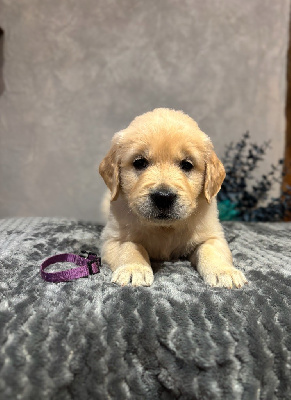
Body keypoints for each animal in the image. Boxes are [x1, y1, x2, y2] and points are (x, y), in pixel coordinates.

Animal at [100, 108, 249, 290]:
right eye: (139, 162)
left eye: (187, 165)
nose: (163, 197)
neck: (165, 228)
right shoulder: (113, 239)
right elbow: (129, 247)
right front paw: (133, 269)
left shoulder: (212, 236)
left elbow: (211, 250)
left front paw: (224, 272)